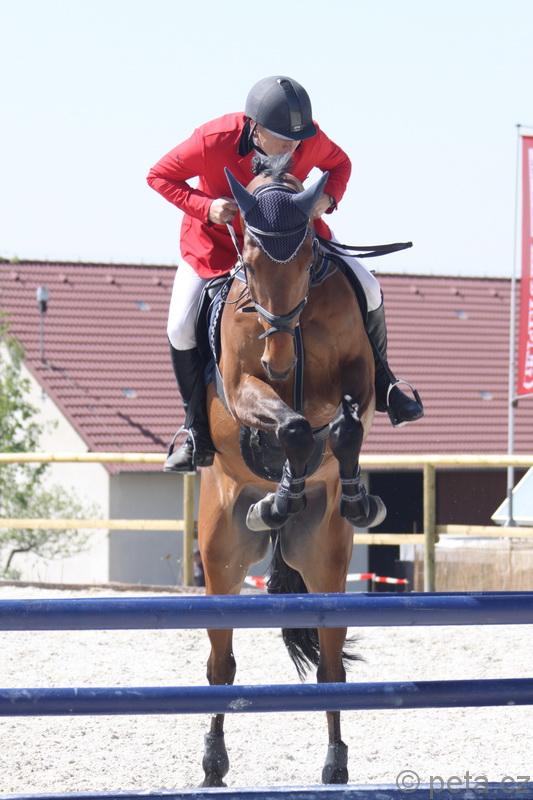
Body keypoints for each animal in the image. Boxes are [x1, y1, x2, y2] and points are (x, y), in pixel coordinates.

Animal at [197, 153, 386, 786]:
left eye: (306, 258)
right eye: (251, 263)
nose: (277, 360)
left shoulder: (358, 376)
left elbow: (344, 428)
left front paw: (354, 495)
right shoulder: (241, 389)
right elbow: (296, 428)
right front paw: (278, 495)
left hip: (325, 565)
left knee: (331, 670)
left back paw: (335, 761)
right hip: (221, 565)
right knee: (221, 666)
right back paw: (213, 763)